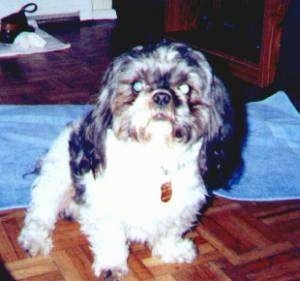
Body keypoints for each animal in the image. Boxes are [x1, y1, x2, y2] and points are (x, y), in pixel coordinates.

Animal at [18, 40, 243, 278]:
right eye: (137, 86)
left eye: (185, 88)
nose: (162, 96)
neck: (155, 157)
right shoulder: (105, 206)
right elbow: (110, 237)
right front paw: (111, 265)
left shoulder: (181, 207)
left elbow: (169, 231)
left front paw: (173, 251)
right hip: (56, 178)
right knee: (40, 214)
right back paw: (34, 240)